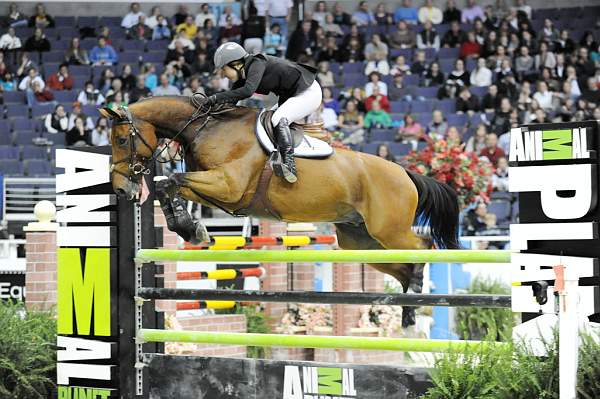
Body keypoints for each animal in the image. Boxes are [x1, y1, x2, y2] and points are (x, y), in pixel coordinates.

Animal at [102, 95, 460, 326]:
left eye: (120, 140)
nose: (121, 189)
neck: (204, 128)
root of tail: (405, 173)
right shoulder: (218, 192)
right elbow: (168, 185)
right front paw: (189, 227)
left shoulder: (228, 185)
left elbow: (170, 180)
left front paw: (191, 228)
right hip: (360, 241)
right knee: (404, 266)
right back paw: (409, 309)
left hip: (388, 229)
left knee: (423, 247)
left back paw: (414, 301)